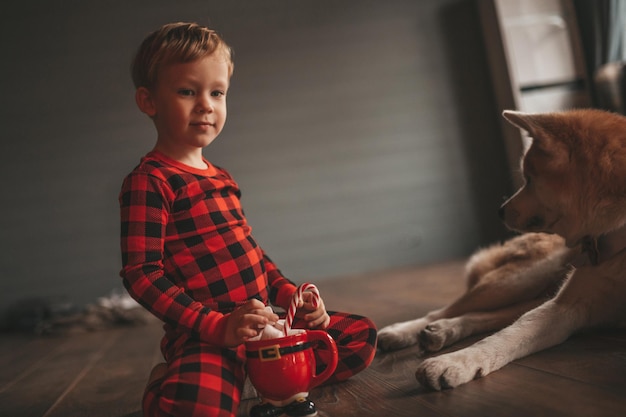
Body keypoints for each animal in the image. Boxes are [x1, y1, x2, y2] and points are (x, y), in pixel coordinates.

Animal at [378, 109, 626, 388]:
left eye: (529, 179)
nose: (500, 211)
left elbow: (512, 329)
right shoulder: (565, 307)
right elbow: (507, 336)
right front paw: (455, 361)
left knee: (495, 314)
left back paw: (443, 331)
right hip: (523, 277)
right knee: (450, 309)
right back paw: (402, 332)